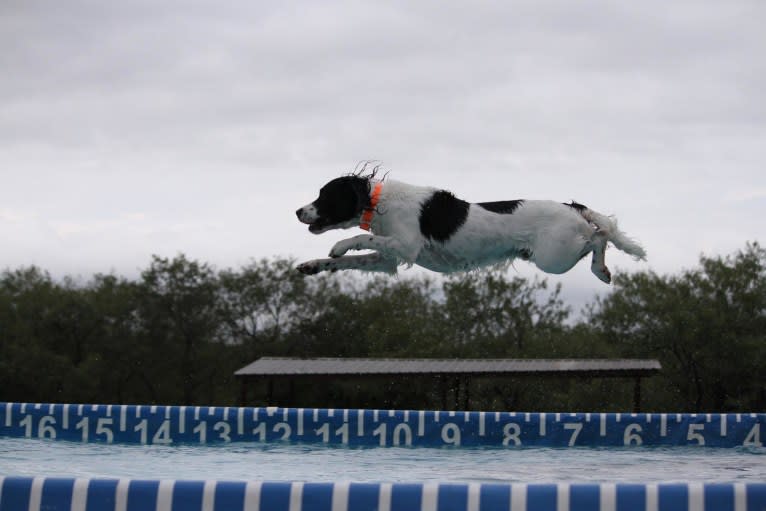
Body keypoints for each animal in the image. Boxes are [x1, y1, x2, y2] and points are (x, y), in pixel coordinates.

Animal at [296, 170, 644, 282]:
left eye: (324, 196)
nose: (298, 211)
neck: (380, 200)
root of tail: (572, 206)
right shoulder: (387, 260)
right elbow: (346, 261)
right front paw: (311, 265)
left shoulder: (406, 245)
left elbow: (357, 239)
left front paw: (338, 246)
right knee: (600, 235)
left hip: (554, 257)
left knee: (600, 235)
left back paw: (601, 269)